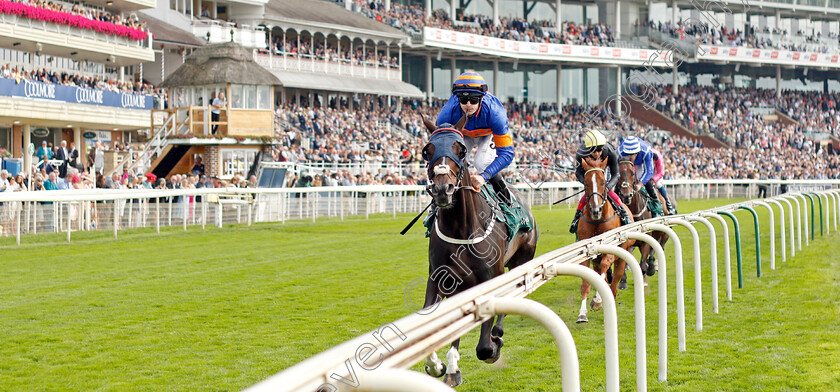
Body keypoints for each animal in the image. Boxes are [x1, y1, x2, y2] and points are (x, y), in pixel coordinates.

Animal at [420, 115, 540, 386]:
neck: (461, 229)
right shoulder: (439, 278)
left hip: (521, 259)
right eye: (427, 151)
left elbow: (484, 348)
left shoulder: (490, 278)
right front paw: (440, 365)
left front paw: (493, 345)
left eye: (461, 150)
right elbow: (431, 323)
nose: (443, 189)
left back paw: (497, 334)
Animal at [576, 155, 636, 324]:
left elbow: (605, 269)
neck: (597, 221)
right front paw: (582, 313)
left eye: (603, 182)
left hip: (622, 257)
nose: (596, 210)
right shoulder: (586, 253)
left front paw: (597, 301)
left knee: (614, 285)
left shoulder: (612, 250)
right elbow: (586, 283)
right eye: (586, 183)